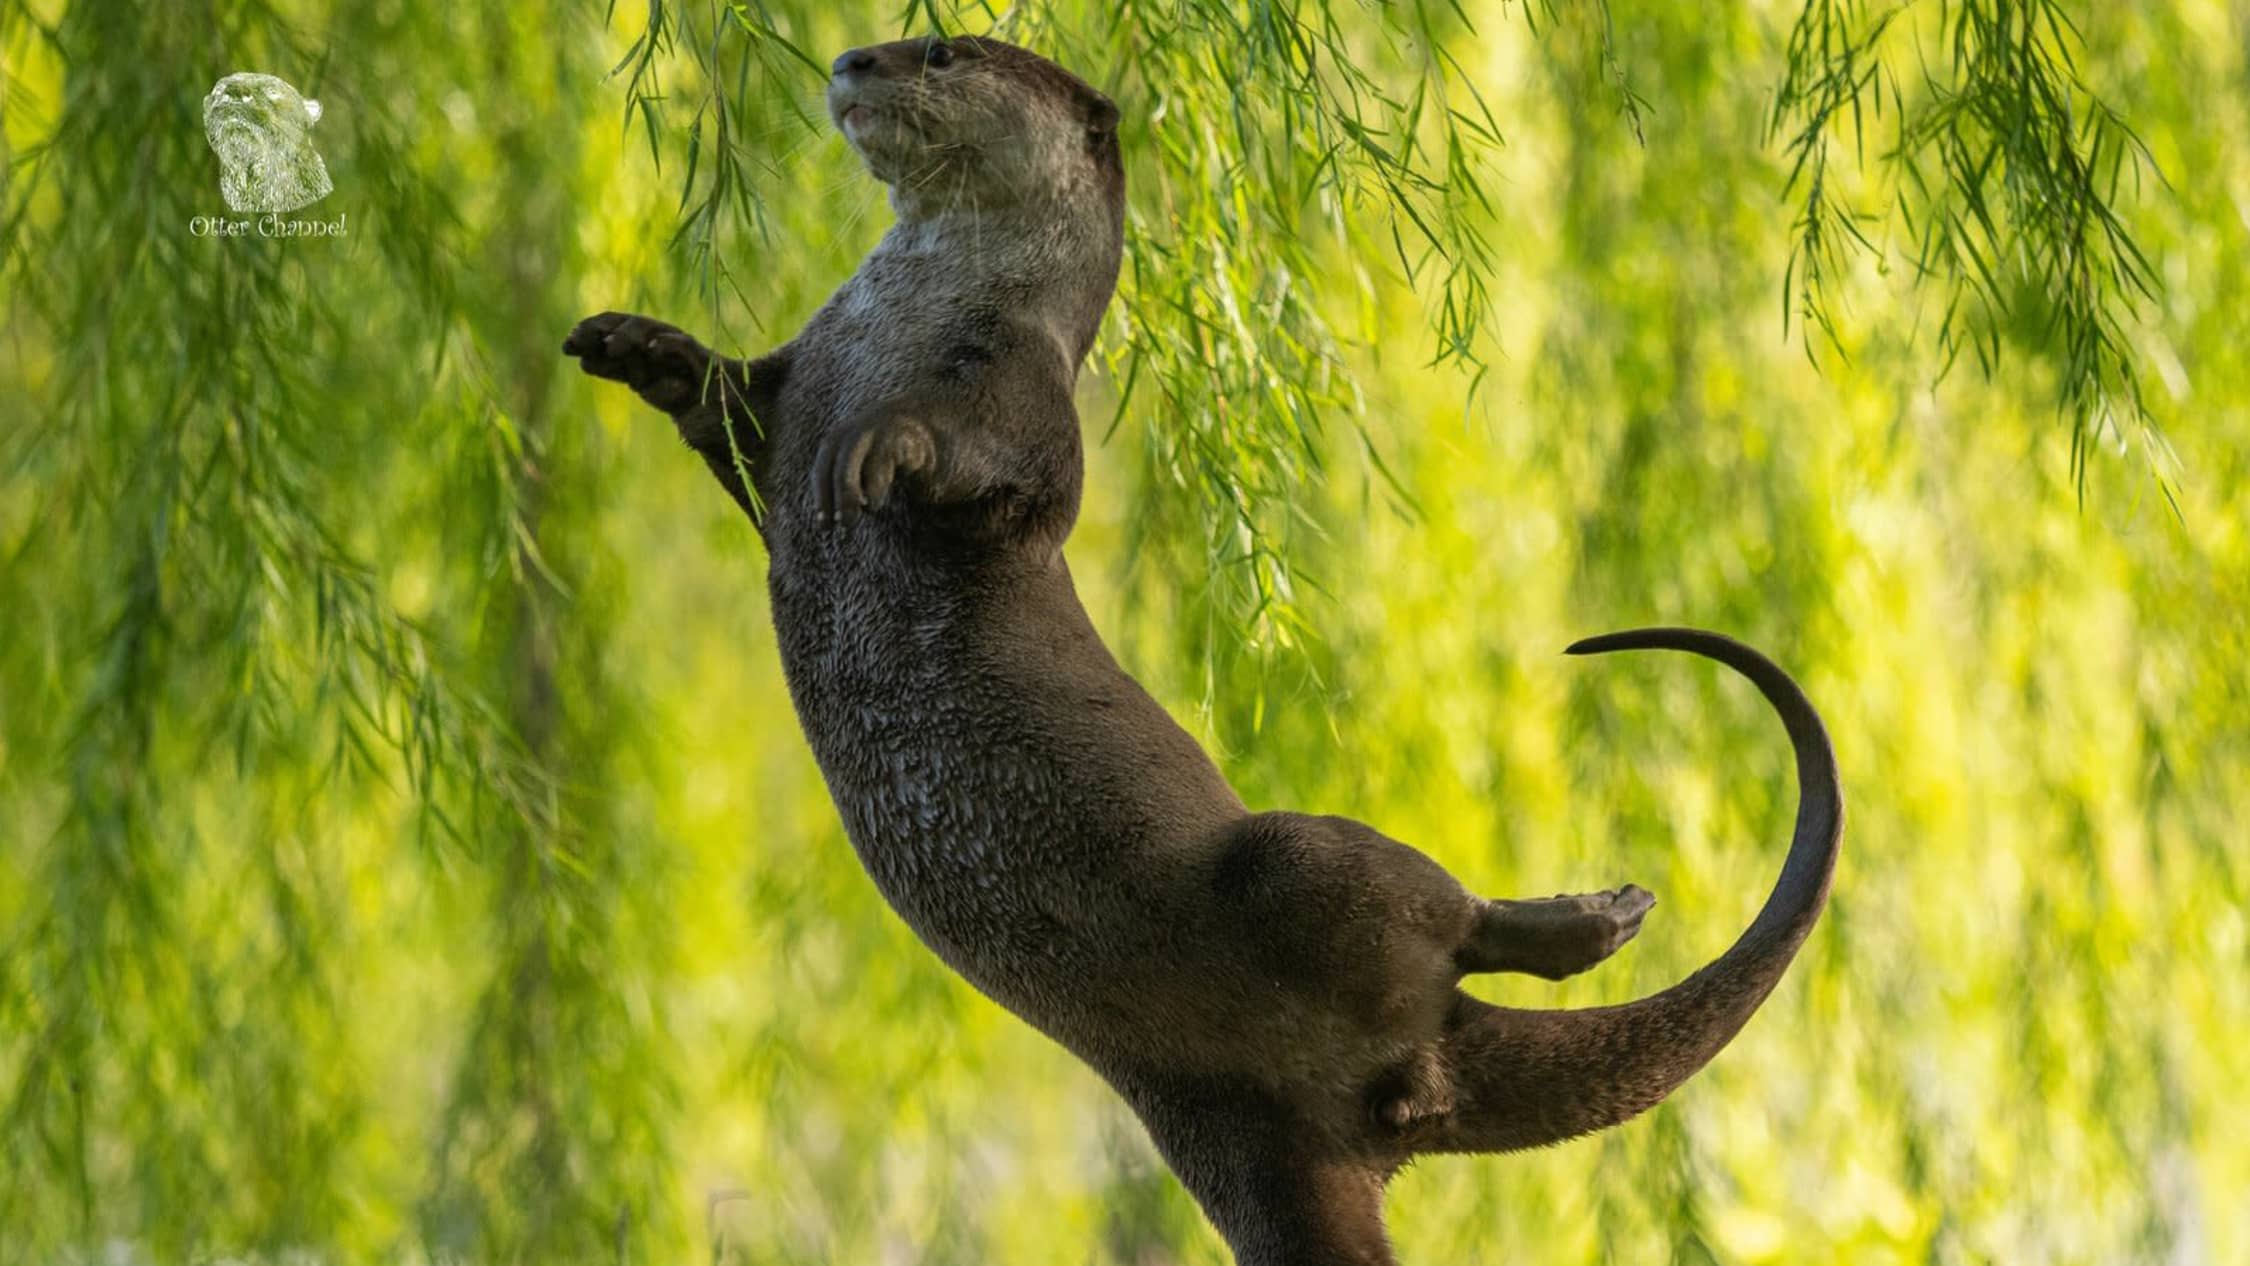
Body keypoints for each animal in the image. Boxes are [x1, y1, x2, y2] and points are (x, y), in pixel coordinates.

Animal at [567, 34, 1845, 1259]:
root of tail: (1416, 1074)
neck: (905, 318)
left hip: (1291, 863)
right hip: (1232, 1139)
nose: (850, 62)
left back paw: (1598, 914)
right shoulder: (794, 380)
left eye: (937, 51)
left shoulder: (1027, 401)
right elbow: (724, 409)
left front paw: (886, 445)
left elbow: (982, 466)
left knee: (1437, 913)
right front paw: (635, 343)